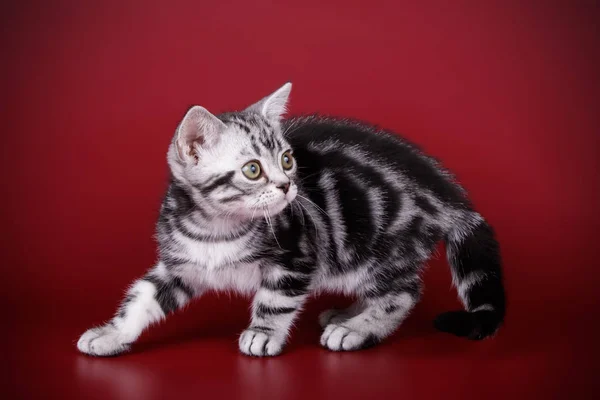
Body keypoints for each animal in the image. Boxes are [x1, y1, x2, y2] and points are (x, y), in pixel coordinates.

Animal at [76, 82, 506, 356]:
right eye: (252, 170)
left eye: (286, 160)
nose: (287, 186)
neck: (217, 228)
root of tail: (447, 193)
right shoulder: (180, 265)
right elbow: (141, 298)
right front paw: (111, 334)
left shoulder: (296, 258)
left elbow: (275, 300)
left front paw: (262, 334)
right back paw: (349, 313)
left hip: (374, 251)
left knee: (403, 293)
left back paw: (355, 329)